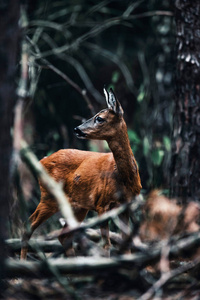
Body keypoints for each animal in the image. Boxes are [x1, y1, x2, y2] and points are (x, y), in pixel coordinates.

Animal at [20, 87, 142, 260]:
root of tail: (41, 161)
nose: (76, 129)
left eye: (100, 118)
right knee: (28, 226)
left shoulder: (126, 207)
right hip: (49, 196)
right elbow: (106, 244)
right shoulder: (101, 204)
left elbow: (126, 245)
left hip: (78, 206)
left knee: (64, 236)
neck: (124, 178)